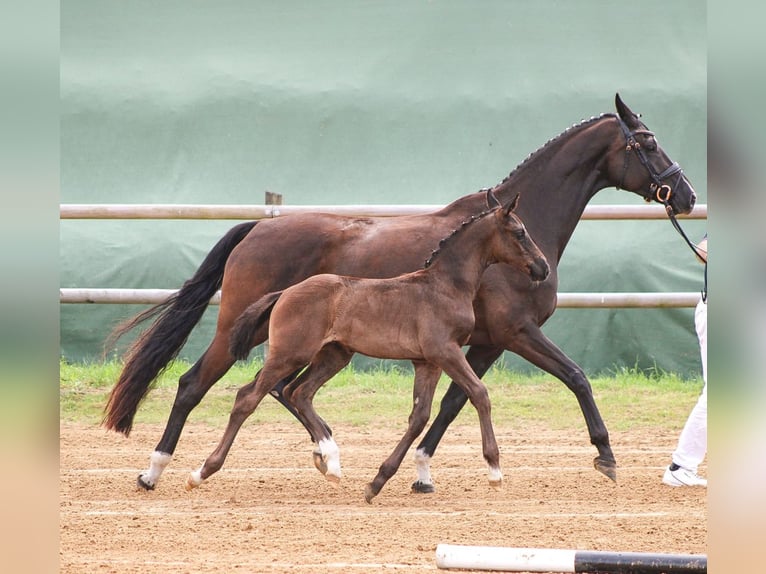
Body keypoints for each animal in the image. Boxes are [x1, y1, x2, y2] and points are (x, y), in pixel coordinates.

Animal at [184, 194, 544, 504]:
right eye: (520, 232)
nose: (541, 267)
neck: (444, 285)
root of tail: (284, 292)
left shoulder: (427, 362)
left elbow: (419, 416)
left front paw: (377, 482)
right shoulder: (445, 351)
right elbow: (480, 394)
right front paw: (495, 471)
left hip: (335, 355)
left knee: (299, 393)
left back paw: (331, 462)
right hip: (291, 354)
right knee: (249, 397)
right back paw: (201, 472)